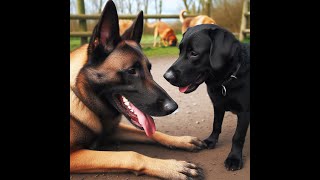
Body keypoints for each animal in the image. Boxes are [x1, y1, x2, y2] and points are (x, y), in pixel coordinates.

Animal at [69, 0, 205, 179]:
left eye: (149, 68)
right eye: (132, 70)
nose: (173, 107)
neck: (82, 98)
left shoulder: (114, 130)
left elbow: (153, 133)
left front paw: (181, 140)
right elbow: (131, 155)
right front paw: (171, 167)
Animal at [165, 24, 250, 172]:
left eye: (194, 53)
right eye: (180, 51)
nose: (166, 77)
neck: (224, 82)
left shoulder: (244, 112)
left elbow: (238, 137)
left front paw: (234, 158)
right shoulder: (218, 105)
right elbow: (216, 125)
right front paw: (211, 141)